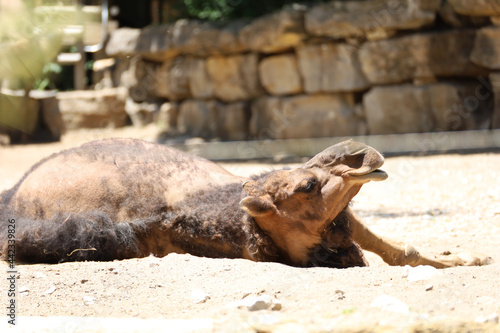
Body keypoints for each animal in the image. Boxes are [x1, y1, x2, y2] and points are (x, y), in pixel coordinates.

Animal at [0, 138, 492, 268]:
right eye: (305, 185)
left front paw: (471, 258)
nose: (359, 154)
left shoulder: (346, 221)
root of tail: (15, 191)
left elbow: (402, 250)